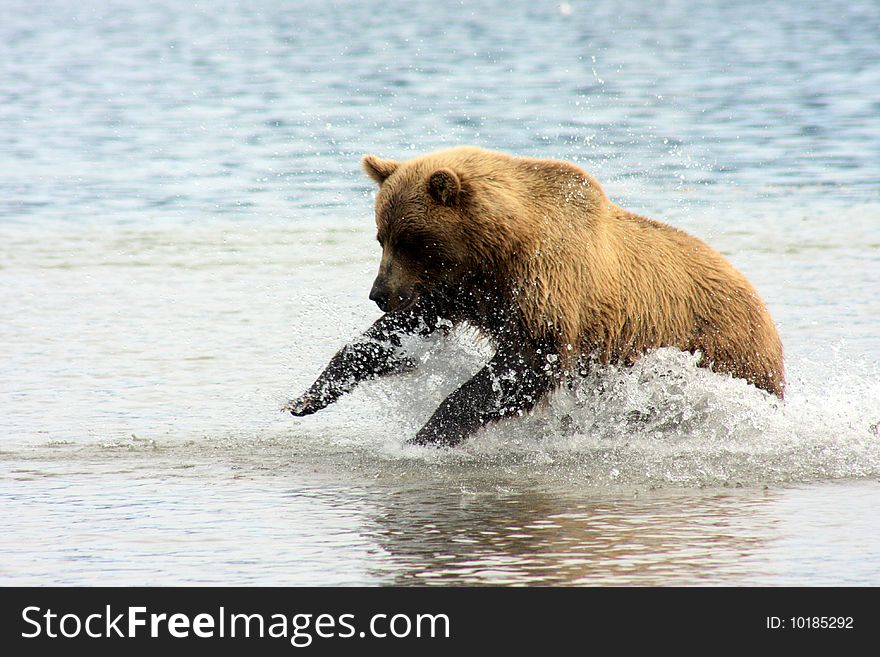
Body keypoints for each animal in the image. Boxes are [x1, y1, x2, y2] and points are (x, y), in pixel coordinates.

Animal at [288, 147, 784, 446]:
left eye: (413, 241)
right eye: (381, 237)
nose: (379, 293)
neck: (497, 252)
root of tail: (765, 311)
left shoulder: (547, 285)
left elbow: (525, 365)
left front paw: (426, 434)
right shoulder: (458, 292)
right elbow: (394, 336)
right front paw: (306, 398)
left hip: (721, 352)